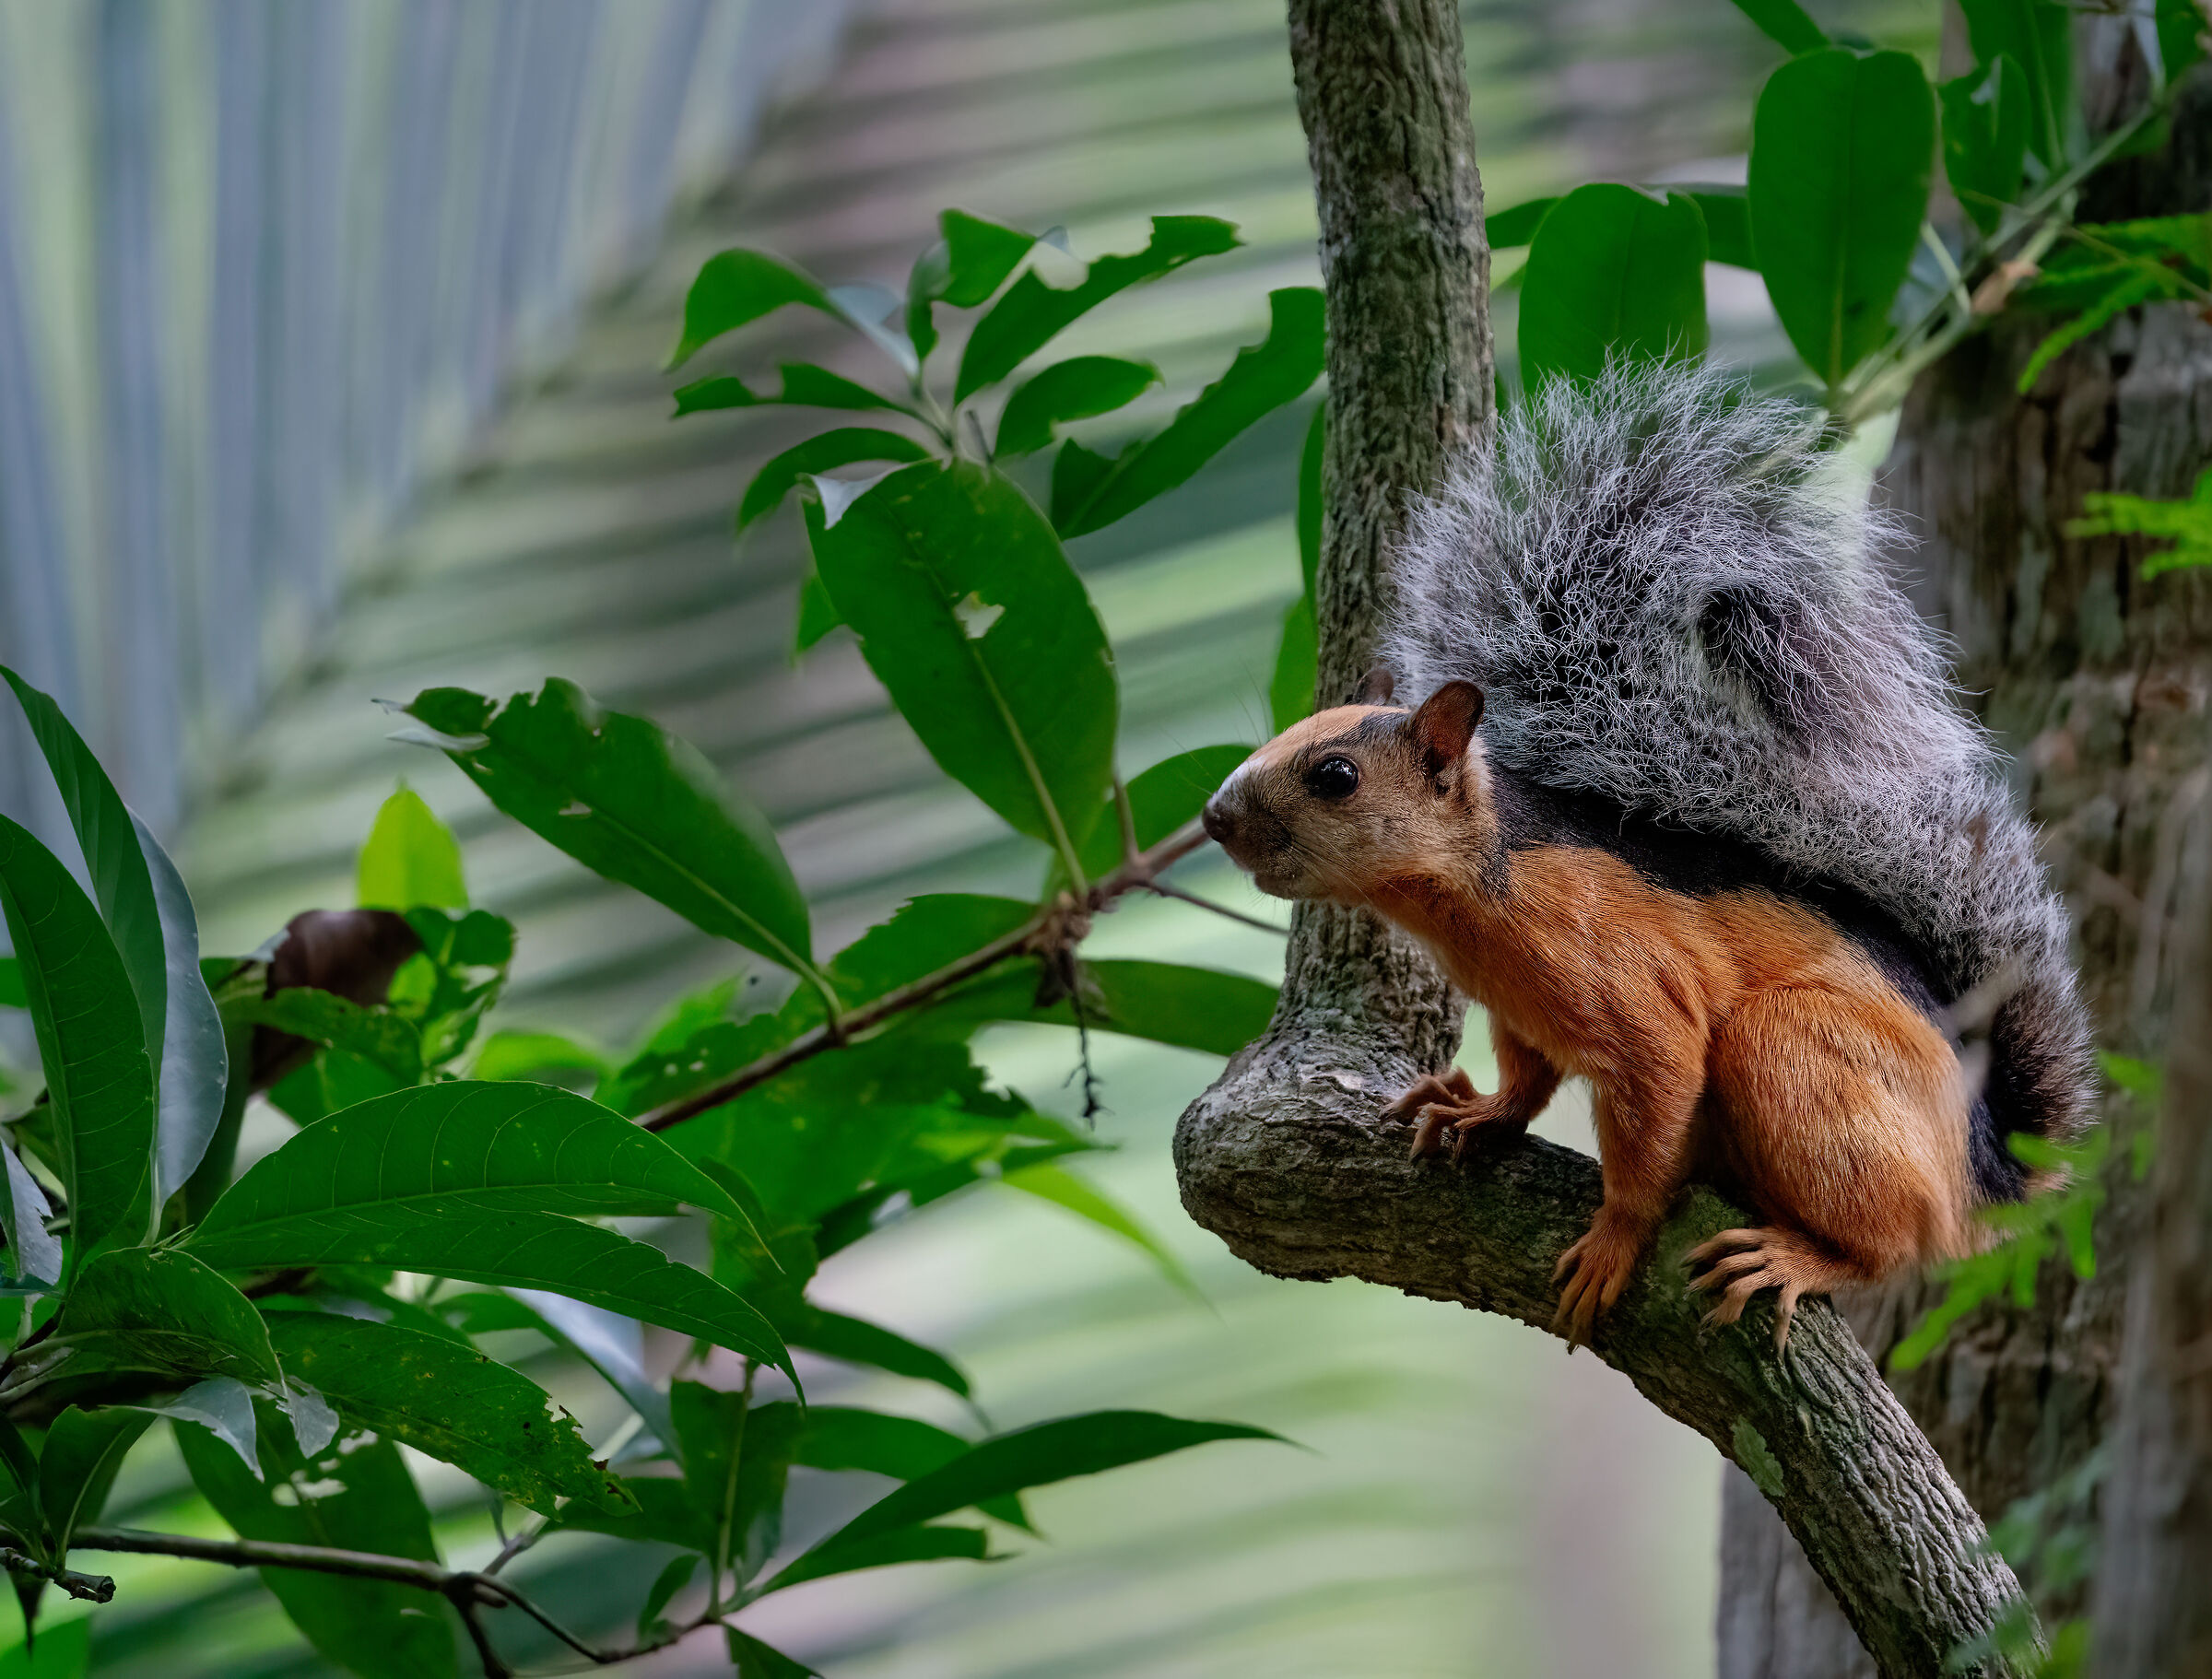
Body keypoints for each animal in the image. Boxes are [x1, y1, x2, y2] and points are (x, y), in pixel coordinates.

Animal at [1201, 360, 2095, 1347]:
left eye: (1335, 775)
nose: (1212, 818)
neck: (1476, 894)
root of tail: (1992, 1178)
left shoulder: (1628, 985)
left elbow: (1650, 1105)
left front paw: (1613, 1241)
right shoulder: (1519, 1012)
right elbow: (1528, 1074)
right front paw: (1478, 1110)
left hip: (1799, 1053)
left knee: (1891, 1243)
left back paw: (1797, 1257)